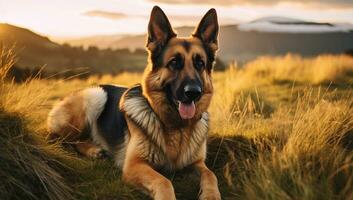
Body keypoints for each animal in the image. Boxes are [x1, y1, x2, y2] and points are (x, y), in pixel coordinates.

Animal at [47, 5, 220, 199]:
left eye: (200, 63)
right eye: (174, 62)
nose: (193, 93)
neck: (176, 128)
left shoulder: (197, 164)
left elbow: (211, 175)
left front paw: (211, 195)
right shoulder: (134, 166)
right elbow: (164, 181)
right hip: (96, 96)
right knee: (61, 140)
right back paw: (92, 150)